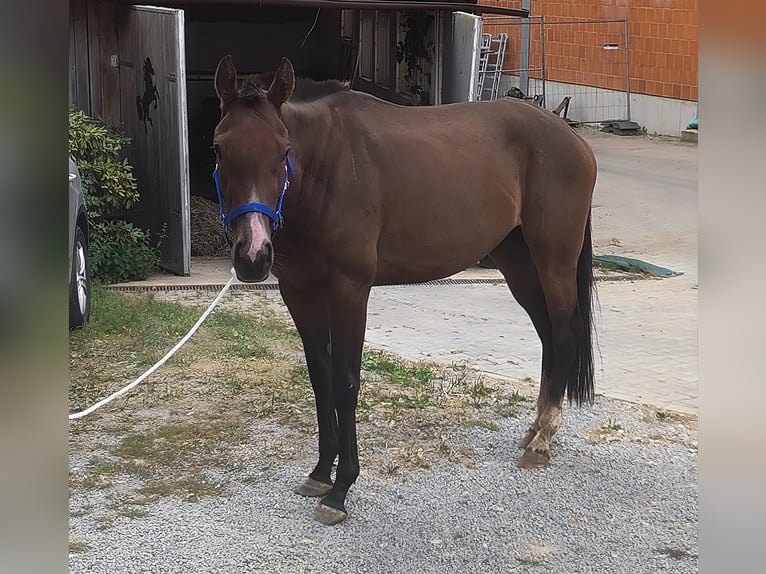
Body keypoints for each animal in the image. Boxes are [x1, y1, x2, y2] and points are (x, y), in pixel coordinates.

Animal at [211, 55, 598, 526]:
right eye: (219, 149)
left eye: (284, 151)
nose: (252, 255)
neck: (327, 167)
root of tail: (569, 135)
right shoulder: (298, 292)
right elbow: (320, 378)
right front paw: (320, 473)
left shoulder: (350, 289)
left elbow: (345, 382)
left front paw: (340, 490)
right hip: (516, 259)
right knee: (546, 333)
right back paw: (534, 429)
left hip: (553, 258)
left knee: (563, 331)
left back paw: (543, 439)